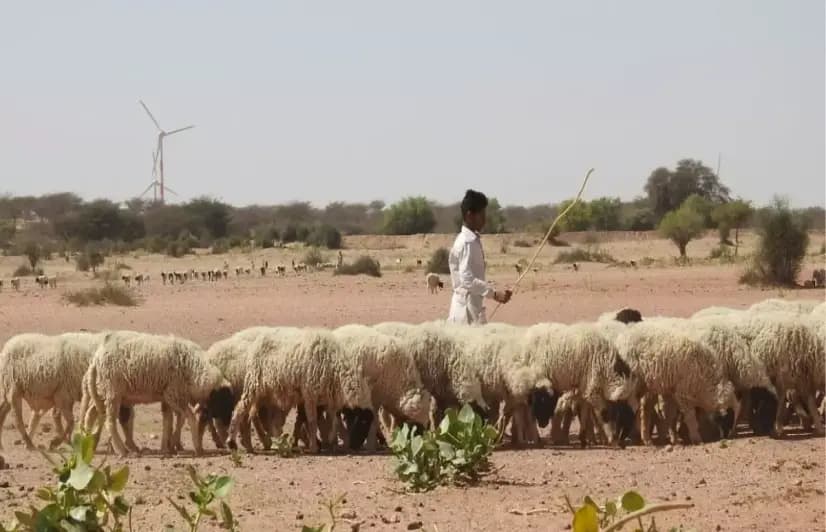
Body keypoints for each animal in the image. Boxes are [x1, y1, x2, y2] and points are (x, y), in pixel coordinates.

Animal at [83, 330, 230, 456]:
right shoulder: (174, 395)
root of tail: (97, 358)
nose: (227, 428)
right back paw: (121, 450)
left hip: (103, 392)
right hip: (112, 392)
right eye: (223, 401)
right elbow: (189, 418)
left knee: (91, 414)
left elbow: (168, 422)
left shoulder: (167, 397)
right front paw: (198, 448)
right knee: (110, 422)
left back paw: (89, 440)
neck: (195, 370)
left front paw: (167, 447)